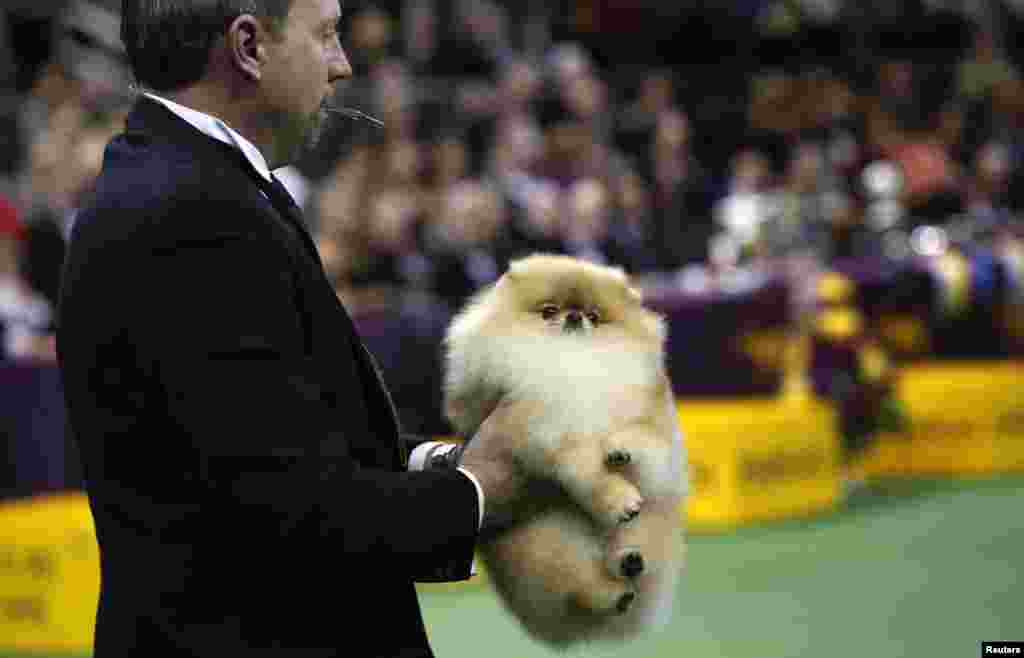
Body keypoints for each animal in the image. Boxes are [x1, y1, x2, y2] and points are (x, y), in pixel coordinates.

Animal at [442, 253, 688, 646]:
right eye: (549, 311)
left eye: (593, 315)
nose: (574, 317)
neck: (571, 364)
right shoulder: (544, 435)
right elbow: (582, 468)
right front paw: (617, 500)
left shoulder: (652, 423)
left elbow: (640, 440)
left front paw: (620, 450)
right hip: (549, 546)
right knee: (584, 588)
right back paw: (614, 590)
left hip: (650, 529)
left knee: (632, 562)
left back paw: (630, 562)